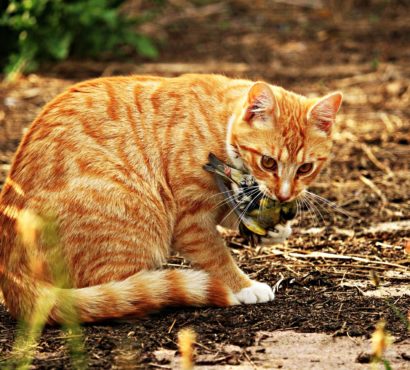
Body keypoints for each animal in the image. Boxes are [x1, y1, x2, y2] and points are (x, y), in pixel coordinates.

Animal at [0, 73, 342, 322]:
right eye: (268, 162)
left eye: (306, 168)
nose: (285, 194)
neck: (219, 126)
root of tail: (12, 276)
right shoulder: (191, 221)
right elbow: (217, 255)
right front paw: (244, 286)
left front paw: (274, 228)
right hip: (134, 214)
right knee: (119, 291)